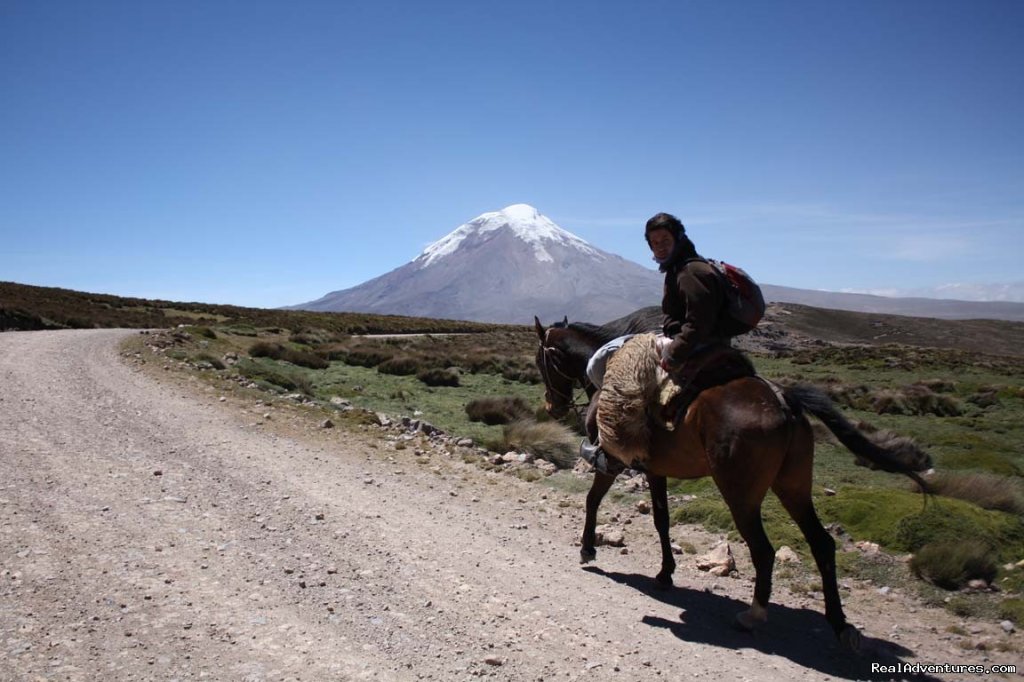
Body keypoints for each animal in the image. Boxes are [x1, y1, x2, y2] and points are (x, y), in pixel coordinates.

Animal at [532, 309, 933, 647]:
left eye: (541, 361)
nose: (552, 407)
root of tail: (784, 401)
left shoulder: (612, 461)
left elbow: (593, 500)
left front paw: (587, 547)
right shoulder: (657, 470)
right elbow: (662, 519)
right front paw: (665, 573)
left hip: (740, 493)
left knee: (764, 550)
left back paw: (754, 615)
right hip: (793, 486)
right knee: (822, 543)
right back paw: (838, 623)